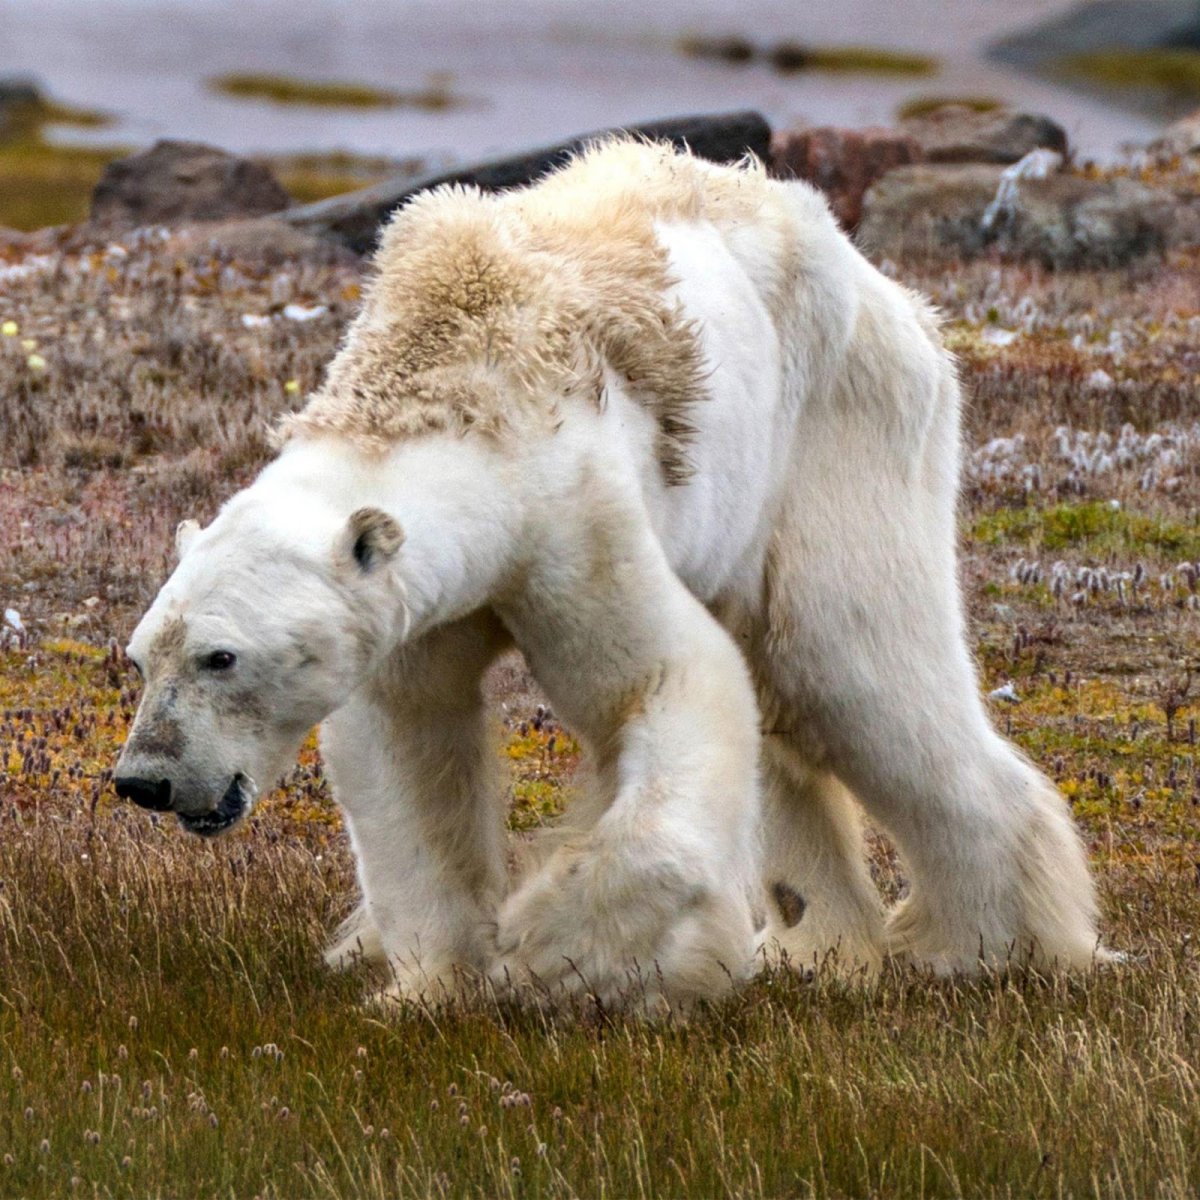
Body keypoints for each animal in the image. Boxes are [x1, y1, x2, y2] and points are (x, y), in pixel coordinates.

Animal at [114, 139, 1105, 1011]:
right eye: (140, 655)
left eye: (220, 657)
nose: (144, 780)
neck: (451, 377)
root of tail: (896, 297)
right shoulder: (415, 605)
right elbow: (408, 744)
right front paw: (431, 986)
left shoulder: (570, 515)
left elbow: (664, 681)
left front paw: (559, 952)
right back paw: (821, 944)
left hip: (838, 435)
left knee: (852, 670)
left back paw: (989, 946)